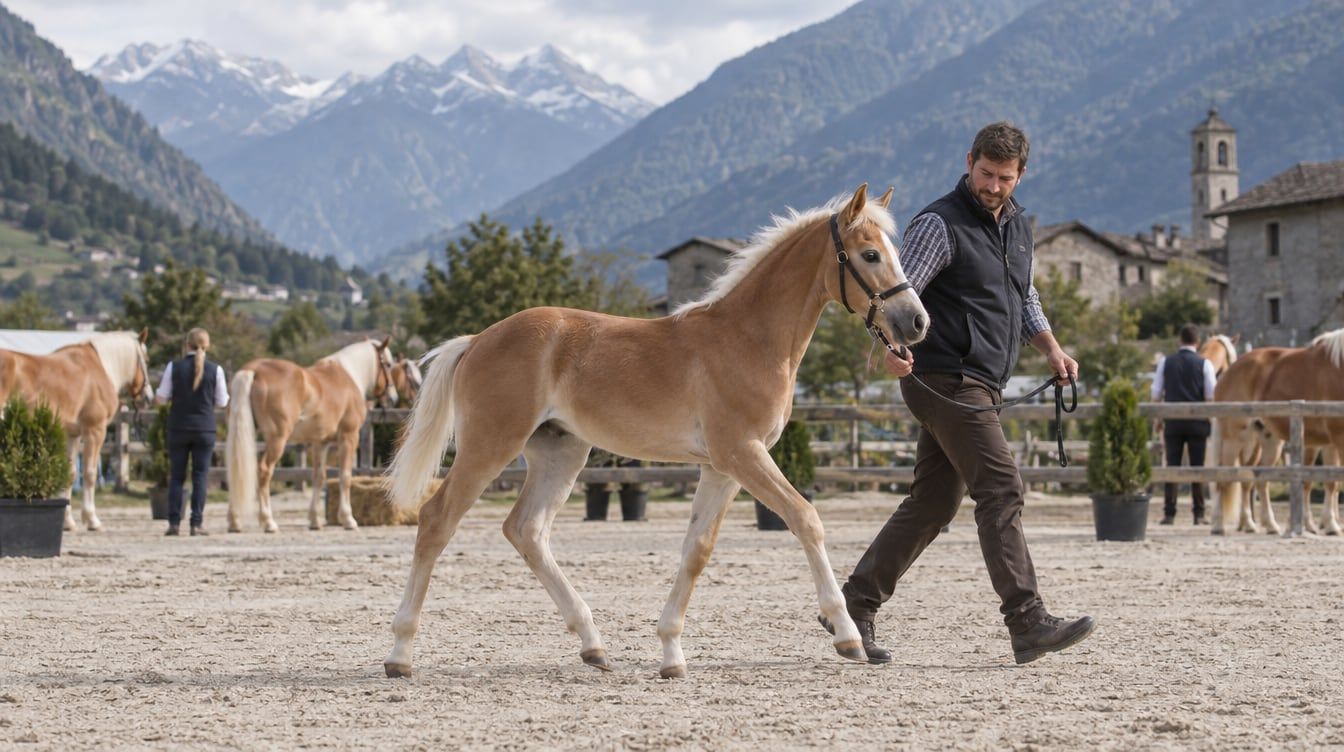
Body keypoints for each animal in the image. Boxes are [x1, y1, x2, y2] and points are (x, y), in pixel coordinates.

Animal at [0, 331, 152, 531]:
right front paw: (92, 519)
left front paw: (67, 522)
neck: (101, 367)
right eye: (147, 360)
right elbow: (89, 473)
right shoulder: (95, 431)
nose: (148, 397)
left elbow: (70, 474)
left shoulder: (71, 434)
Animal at [226, 337, 396, 533]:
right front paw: (348, 519)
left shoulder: (320, 442)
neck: (349, 376)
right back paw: (268, 522)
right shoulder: (348, 436)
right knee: (264, 470)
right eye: (388, 365)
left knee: (235, 468)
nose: (393, 398)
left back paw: (235, 521)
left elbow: (318, 477)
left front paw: (314, 520)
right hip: (277, 439)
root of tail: (254, 370)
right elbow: (345, 476)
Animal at [381, 184, 928, 679]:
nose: (916, 322)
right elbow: (806, 519)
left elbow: (696, 551)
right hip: (490, 445)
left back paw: (593, 645)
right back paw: (400, 654)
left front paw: (671, 654)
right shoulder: (743, 454)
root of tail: (477, 340)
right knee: (436, 520)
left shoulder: (721, 468)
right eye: (871, 254)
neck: (747, 339)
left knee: (526, 530)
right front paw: (847, 636)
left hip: (561, 452)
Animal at [1212, 328, 1344, 535]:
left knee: (1259, 481)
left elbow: (1332, 483)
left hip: (1269, 443)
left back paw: (1265, 525)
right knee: (1223, 478)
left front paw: (1330, 525)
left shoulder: (1328, 443)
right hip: (1234, 440)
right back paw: (1219, 526)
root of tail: (1230, 371)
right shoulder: (1337, 438)